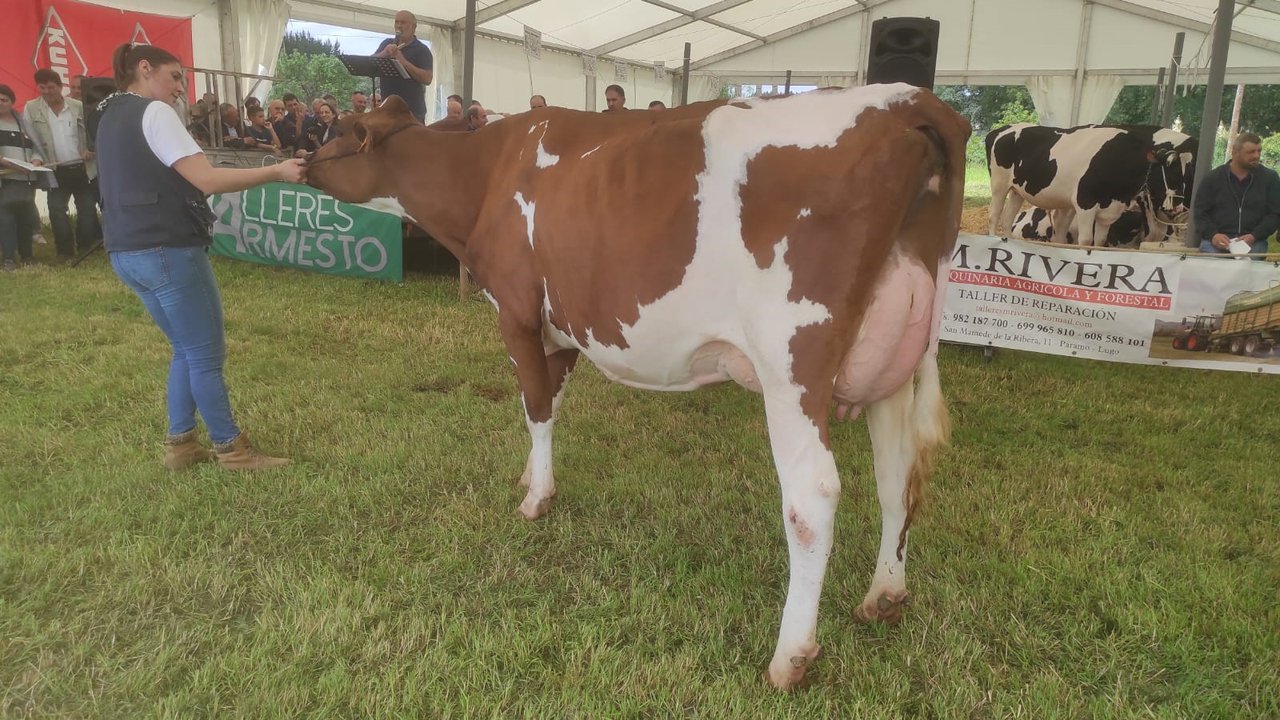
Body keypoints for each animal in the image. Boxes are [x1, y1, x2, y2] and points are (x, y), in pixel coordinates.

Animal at [306, 85, 971, 689]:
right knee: (897, 477)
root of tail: (910, 101)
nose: (303, 162)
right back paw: (885, 595)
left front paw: (534, 500)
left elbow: (535, 405)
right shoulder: (561, 326)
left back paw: (790, 658)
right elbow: (550, 401)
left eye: (338, 129)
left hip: (792, 364)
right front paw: (532, 476)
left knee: (814, 497)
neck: (487, 175)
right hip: (895, 363)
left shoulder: (517, 309)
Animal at [986, 123, 1195, 246]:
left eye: (1189, 174)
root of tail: (1001, 130)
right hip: (999, 184)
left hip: (1016, 191)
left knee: (1006, 220)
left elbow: (1100, 242)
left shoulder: (1108, 212)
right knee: (994, 215)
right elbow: (1086, 241)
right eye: (1174, 173)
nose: (1179, 206)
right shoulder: (1084, 203)